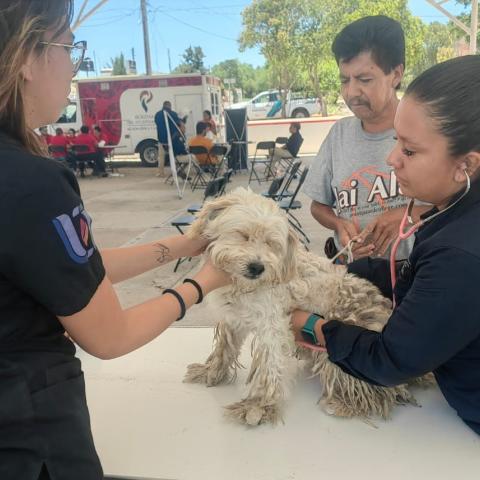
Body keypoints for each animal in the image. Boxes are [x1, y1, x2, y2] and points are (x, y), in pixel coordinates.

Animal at [184, 189, 428, 426]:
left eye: (272, 243)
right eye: (243, 234)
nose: (257, 267)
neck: (240, 286)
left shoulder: (273, 325)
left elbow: (269, 366)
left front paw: (258, 406)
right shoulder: (233, 318)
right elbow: (224, 348)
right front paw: (211, 372)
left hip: (341, 353)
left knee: (382, 391)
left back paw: (343, 405)